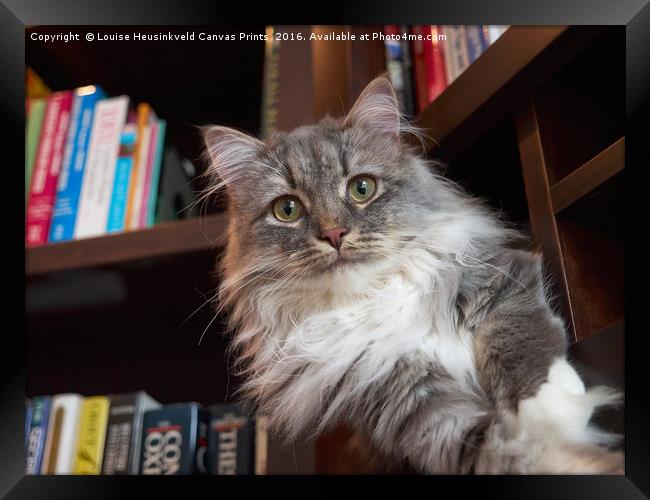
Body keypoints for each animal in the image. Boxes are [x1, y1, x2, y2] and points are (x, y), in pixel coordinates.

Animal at [200, 77, 620, 472]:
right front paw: (559, 447)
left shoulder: (503, 280)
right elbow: (498, 450)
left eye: (362, 188)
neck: (376, 296)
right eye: (287, 210)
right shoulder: (405, 400)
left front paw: (549, 411)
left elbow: (519, 341)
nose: (334, 234)